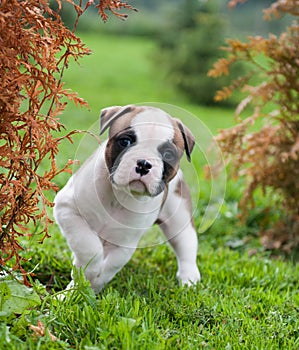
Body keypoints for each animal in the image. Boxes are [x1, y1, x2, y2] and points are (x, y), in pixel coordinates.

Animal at [54, 104, 202, 292]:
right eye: (125, 142)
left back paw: (189, 279)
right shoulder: (68, 209)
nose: (144, 164)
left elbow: (111, 265)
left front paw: (94, 282)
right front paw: (87, 275)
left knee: (186, 247)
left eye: (168, 154)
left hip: (180, 221)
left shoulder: (124, 243)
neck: (120, 196)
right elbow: (89, 247)